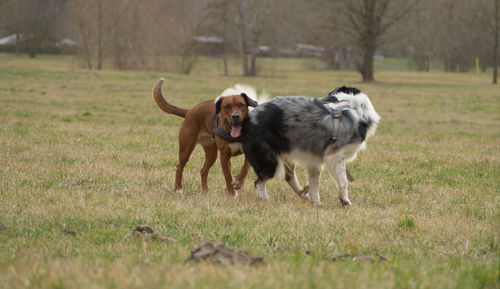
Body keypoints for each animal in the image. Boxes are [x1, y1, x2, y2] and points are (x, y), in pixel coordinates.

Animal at [241, 85, 378, 205]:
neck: (352, 105)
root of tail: (249, 118)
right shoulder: (334, 156)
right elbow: (343, 181)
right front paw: (345, 201)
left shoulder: (314, 162)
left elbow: (314, 186)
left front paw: (316, 203)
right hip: (270, 163)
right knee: (259, 182)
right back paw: (265, 199)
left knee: (289, 177)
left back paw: (303, 195)